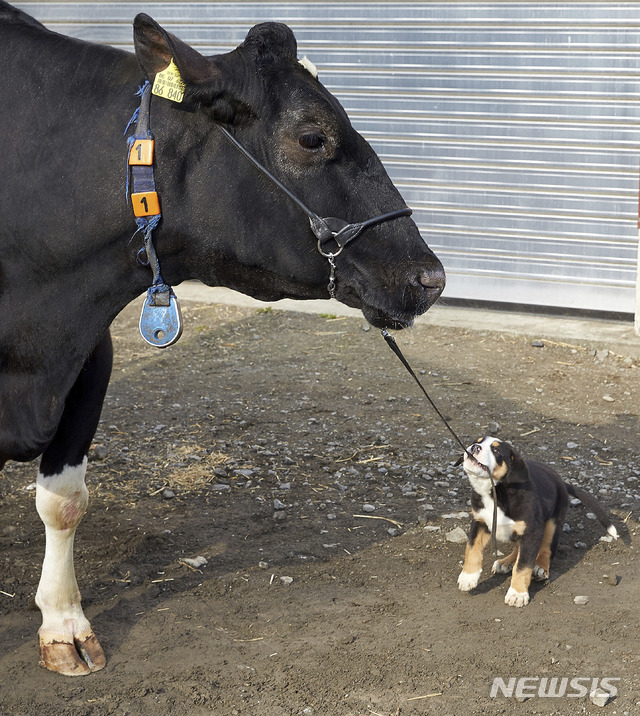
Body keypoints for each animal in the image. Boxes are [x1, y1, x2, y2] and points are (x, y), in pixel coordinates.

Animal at [456, 434, 616, 608]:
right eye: (476, 442)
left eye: (496, 450)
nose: (474, 448)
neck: (496, 492)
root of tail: (560, 481)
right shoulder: (480, 521)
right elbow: (472, 549)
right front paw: (468, 577)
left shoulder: (532, 532)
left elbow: (523, 565)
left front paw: (517, 594)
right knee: (518, 548)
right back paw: (505, 562)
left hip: (553, 523)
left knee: (546, 548)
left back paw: (540, 567)